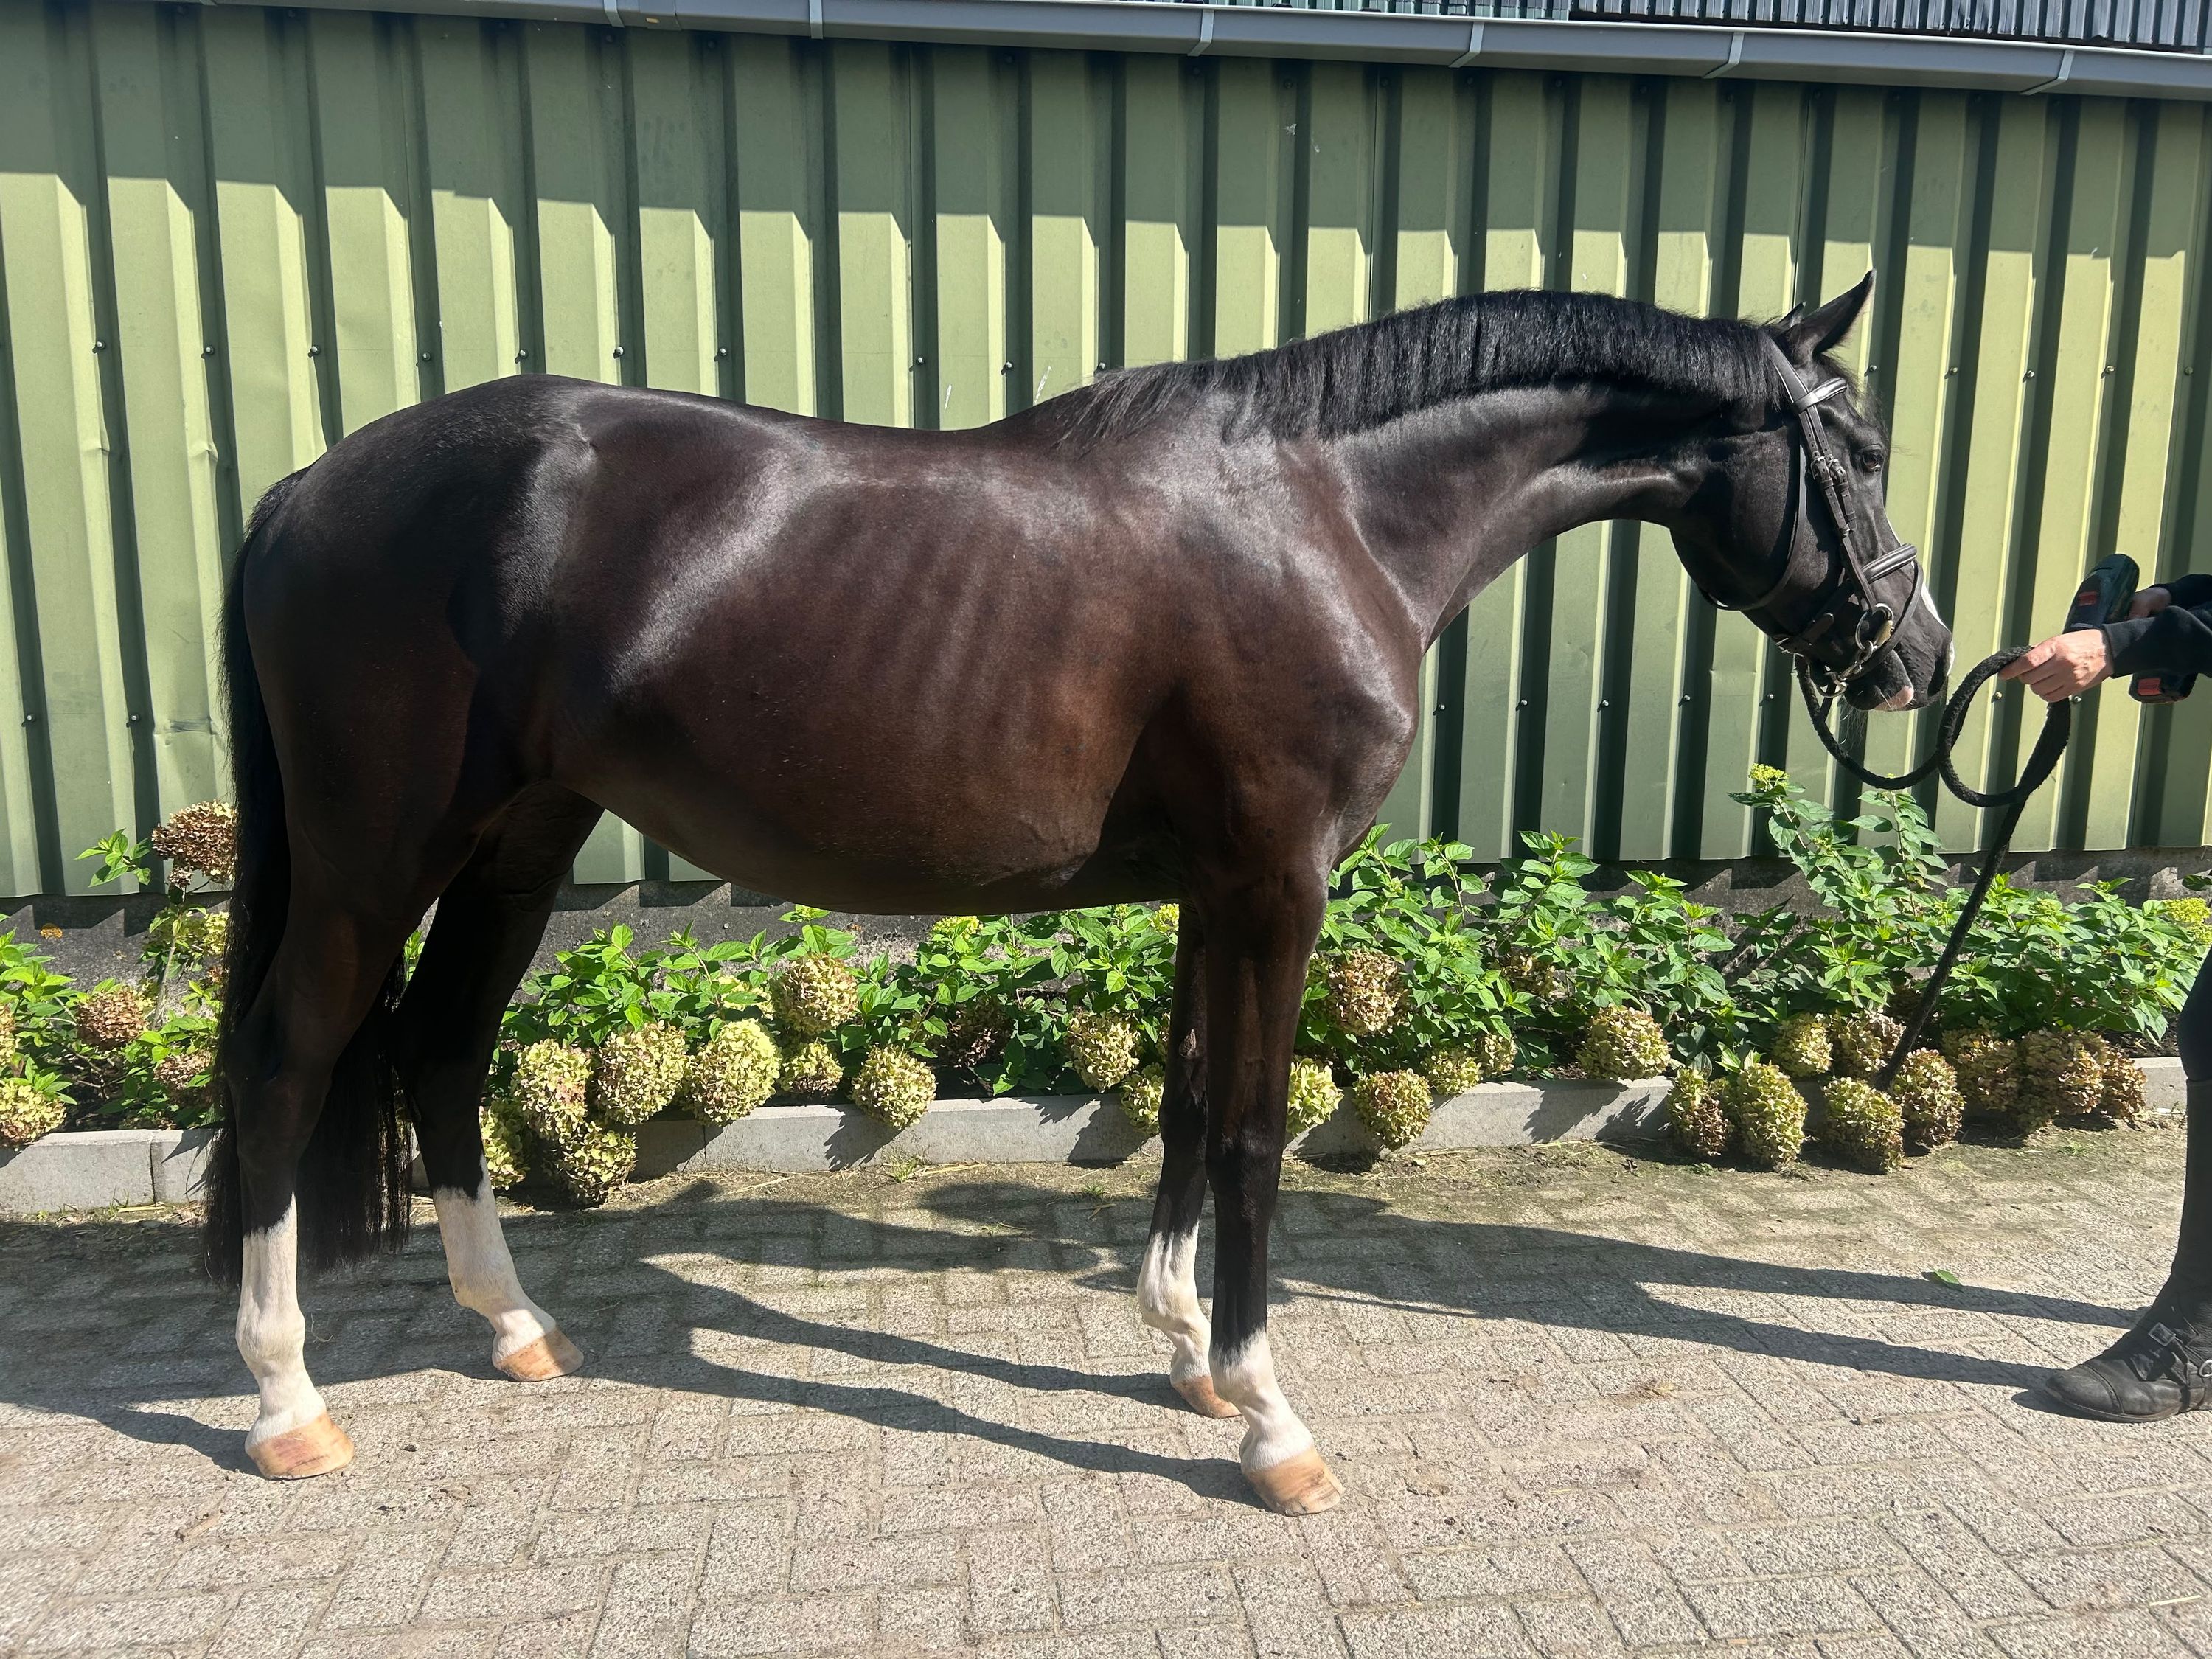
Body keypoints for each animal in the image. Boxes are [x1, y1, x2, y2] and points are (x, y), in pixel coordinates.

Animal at [201, 271, 1950, 1515]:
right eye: (1859, 454)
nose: (1916, 657)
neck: (1330, 515)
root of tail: (304, 491)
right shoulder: (1278, 884)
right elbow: (1252, 1132)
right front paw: (1273, 1424)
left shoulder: (1210, 891)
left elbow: (1182, 1104)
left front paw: (1186, 1355)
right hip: (374, 863)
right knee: (291, 1068)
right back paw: (289, 1401)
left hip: (524, 840)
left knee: (440, 1048)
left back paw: (514, 1330)